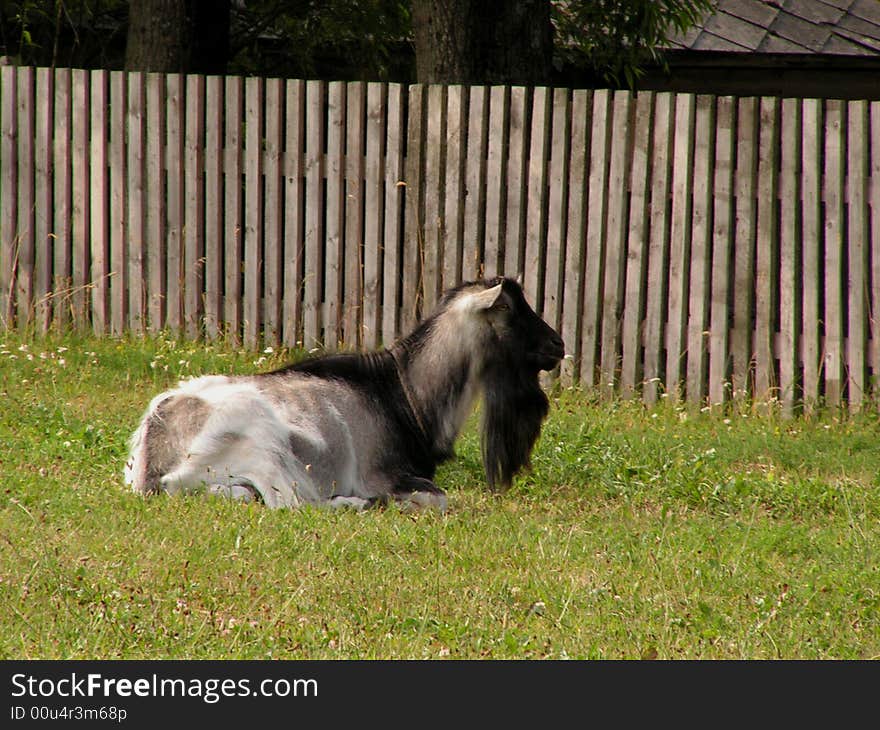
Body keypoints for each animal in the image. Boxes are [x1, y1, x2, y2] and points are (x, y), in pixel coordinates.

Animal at [124, 276, 564, 510]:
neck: (400, 393)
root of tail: (155, 460)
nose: (557, 345)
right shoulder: (384, 475)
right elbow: (439, 499)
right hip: (267, 449)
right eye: (511, 310)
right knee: (293, 505)